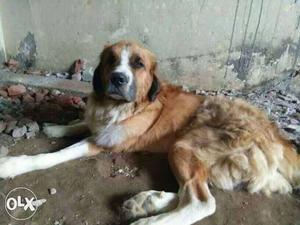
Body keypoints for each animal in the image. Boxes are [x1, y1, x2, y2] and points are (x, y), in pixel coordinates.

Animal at [0, 40, 300, 225]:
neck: (124, 105)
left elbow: (57, 154)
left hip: (184, 146)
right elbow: (81, 122)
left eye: (138, 63)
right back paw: (147, 202)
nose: (118, 78)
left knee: (202, 201)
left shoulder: (103, 143)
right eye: (111, 60)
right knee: (190, 190)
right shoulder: (100, 126)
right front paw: (56, 126)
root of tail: (277, 136)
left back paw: (152, 219)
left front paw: (13, 164)